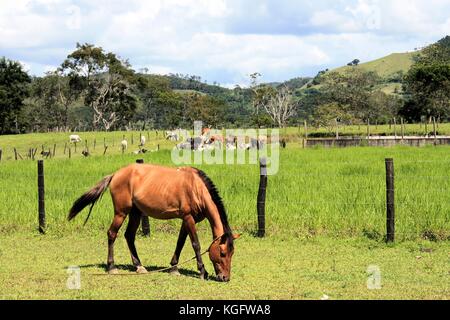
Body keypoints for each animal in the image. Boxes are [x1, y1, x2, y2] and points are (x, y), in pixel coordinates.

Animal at [67, 164, 239, 282]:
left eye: (232, 253)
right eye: (222, 253)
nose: (225, 278)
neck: (196, 187)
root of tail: (116, 174)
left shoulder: (186, 220)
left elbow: (180, 243)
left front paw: (174, 268)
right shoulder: (188, 218)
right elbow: (195, 244)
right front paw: (202, 271)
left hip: (135, 213)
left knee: (129, 236)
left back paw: (139, 266)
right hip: (121, 213)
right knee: (112, 234)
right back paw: (111, 267)